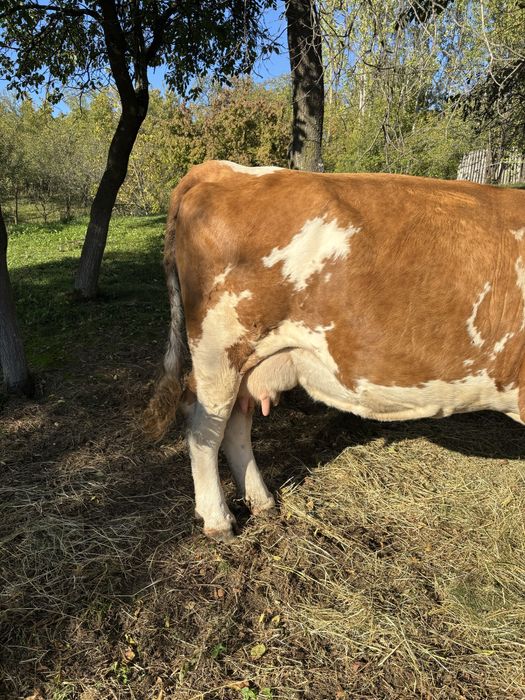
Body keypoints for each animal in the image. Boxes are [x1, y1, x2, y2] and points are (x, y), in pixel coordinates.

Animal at [144, 160, 525, 542]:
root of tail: (224, 169)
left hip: (251, 360)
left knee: (236, 421)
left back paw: (262, 502)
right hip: (219, 353)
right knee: (204, 426)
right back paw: (218, 520)